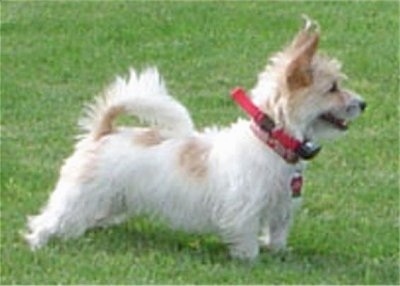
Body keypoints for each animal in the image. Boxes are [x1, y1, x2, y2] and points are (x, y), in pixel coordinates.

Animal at [23, 16, 364, 260]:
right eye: (333, 88)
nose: (363, 104)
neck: (272, 142)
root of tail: (104, 131)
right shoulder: (244, 212)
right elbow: (248, 243)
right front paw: (252, 262)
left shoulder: (280, 210)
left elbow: (277, 237)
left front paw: (280, 256)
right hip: (79, 195)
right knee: (48, 218)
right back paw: (38, 243)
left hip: (110, 198)